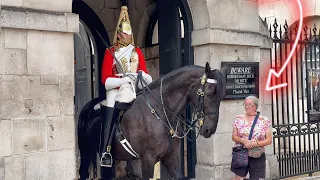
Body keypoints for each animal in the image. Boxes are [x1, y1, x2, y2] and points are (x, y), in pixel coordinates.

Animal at [77, 62, 228, 179]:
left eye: (222, 96)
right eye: (209, 93)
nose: (209, 129)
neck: (161, 112)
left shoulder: (170, 157)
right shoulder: (148, 160)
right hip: (86, 152)